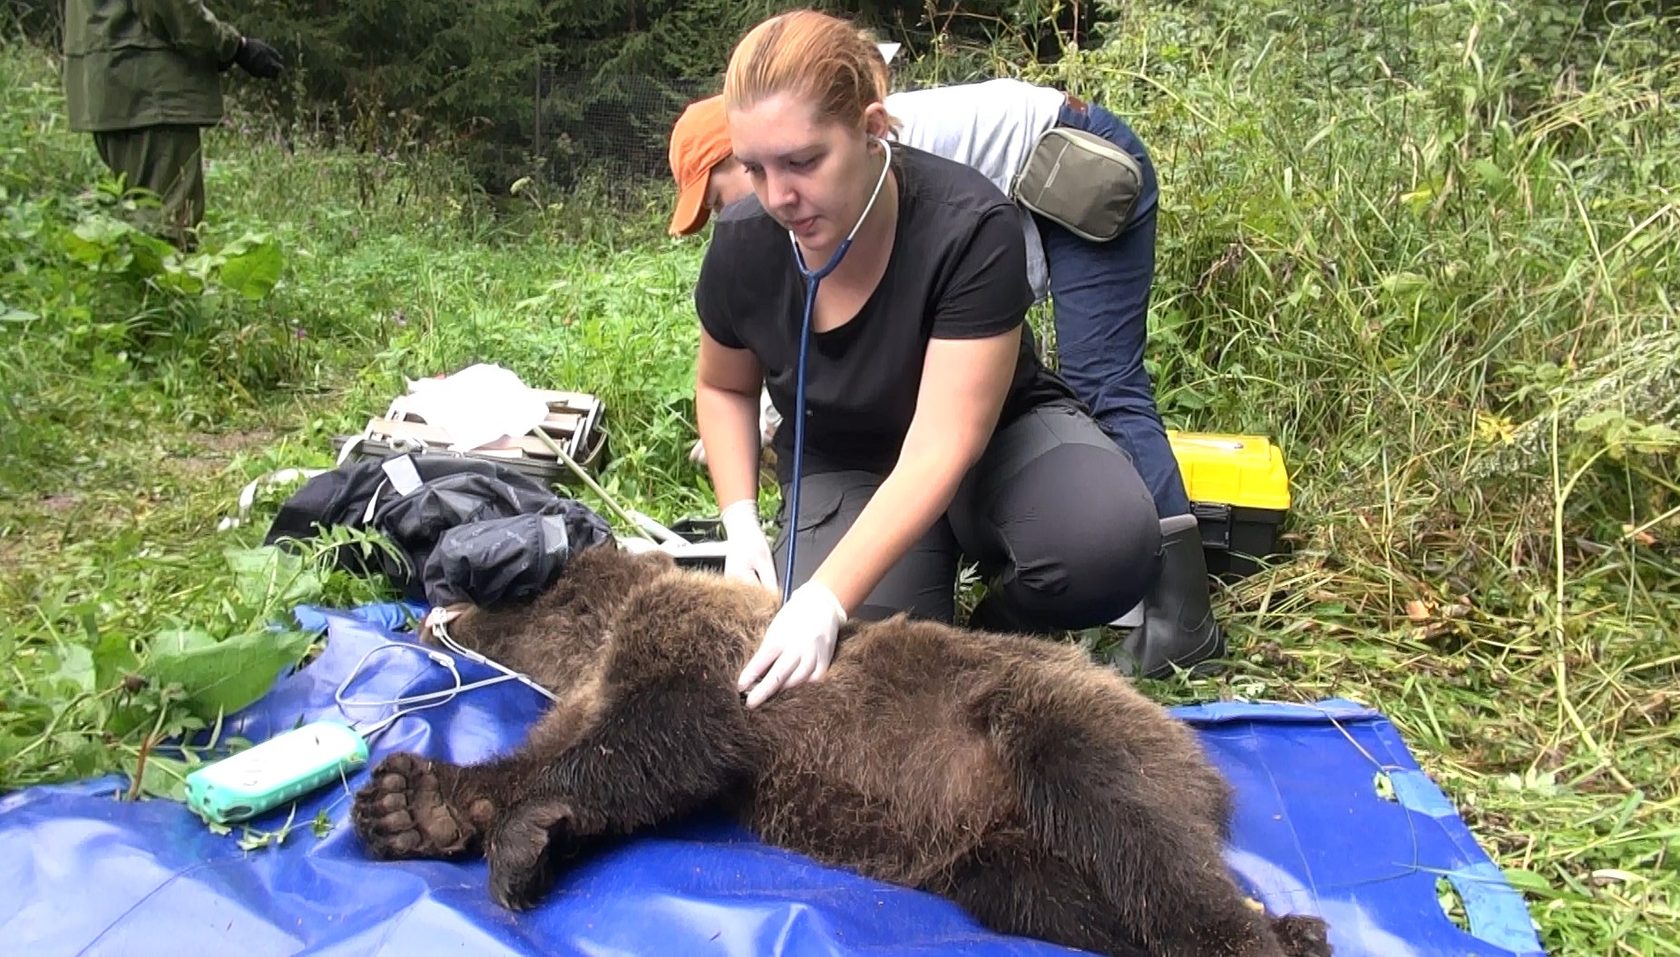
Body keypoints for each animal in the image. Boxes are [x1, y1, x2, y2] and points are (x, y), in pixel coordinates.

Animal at [347, 543, 1330, 953]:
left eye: (514, 586)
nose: (434, 599)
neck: (596, 644)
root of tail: (1203, 761)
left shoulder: (707, 664)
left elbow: (656, 743)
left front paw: (497, 824)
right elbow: (588, 773)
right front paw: (416, 803)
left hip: (1051, 719)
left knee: (1135, 833)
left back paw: (1258, 937)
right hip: (1001, 853)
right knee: (1076, 892)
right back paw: (1293, 925)